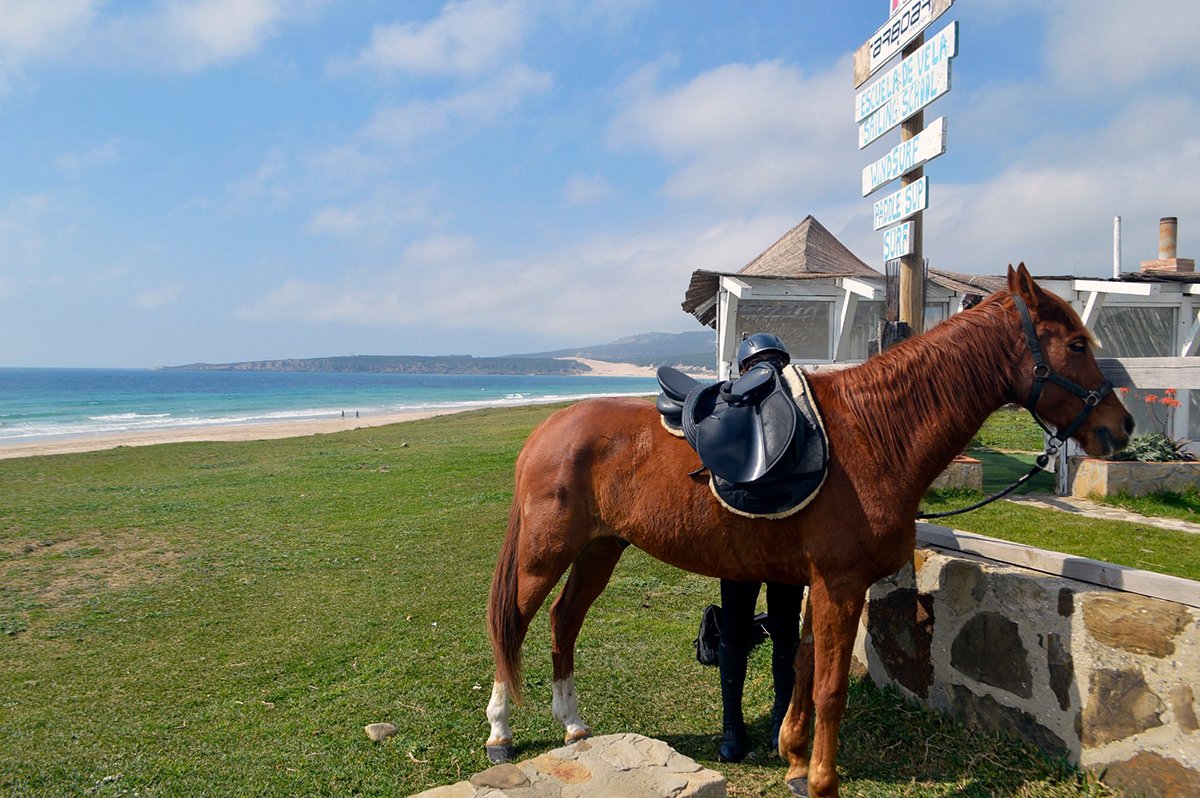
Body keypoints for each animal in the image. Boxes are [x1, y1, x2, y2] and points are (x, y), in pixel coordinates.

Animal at [482, 264, 1128, 792]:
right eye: (1075, 343)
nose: (1120, 428)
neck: (873, 431)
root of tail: (548, 431)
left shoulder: (819, 584)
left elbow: (801, 665)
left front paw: (791, 757)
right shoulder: (841, 584)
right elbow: (829, 688)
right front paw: (820, 780)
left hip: (599, 550)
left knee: (564, 621)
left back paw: (573, 724)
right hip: (545, 555)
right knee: (514, 623)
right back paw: (500, 733)